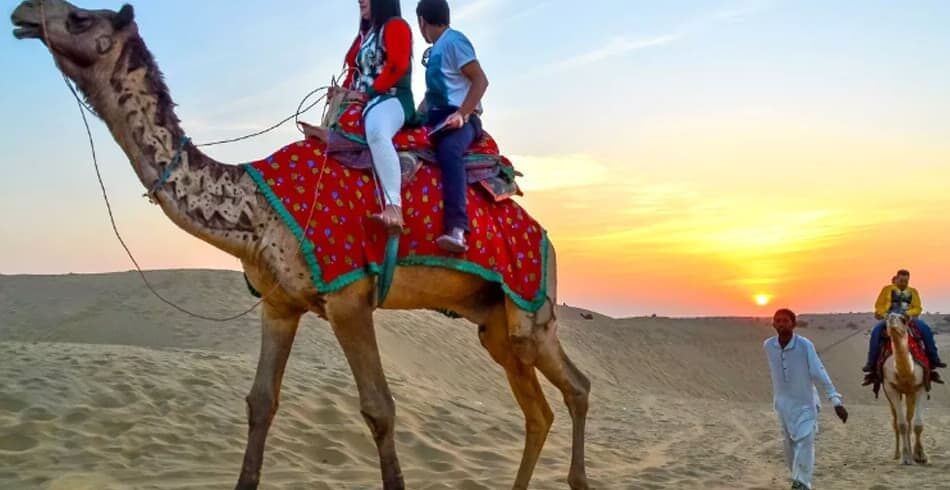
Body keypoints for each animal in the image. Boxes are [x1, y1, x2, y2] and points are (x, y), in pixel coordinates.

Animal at [10, 2, 591, 489]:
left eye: (82, 18)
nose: (24, 12)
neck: (256, 208)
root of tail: (547, 238)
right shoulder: (280, 303)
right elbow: (260, 402)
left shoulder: (348, 296)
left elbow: (380, 408)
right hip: (494, 321)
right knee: (541, 409)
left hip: (530, 310)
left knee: (575, 388)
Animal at [880, 312, 928, 465]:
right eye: (886, 318)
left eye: (903, 319)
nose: (891, 319)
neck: (906, 373)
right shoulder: (891, 388)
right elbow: (901, 425)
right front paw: (905, 457)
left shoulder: (920, 387)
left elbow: (917, 425)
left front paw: (920, 455)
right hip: (891, 396)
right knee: (896, 421)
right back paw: (897, 454)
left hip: (910, 394)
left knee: (909, 419)